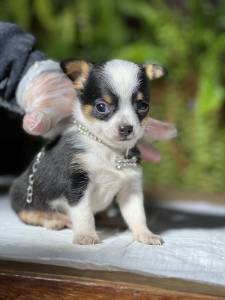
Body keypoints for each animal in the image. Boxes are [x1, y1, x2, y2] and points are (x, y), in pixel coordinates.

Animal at [10, 59, 165, 246]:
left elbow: (137, 215)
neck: (108, 149)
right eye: (101, 107)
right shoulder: (78, 185)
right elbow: (84, 214)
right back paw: (54, 220)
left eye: (143, 106)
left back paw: (112, 221)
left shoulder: (131, 188)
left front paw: (145, 234)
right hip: (24, 197)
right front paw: (86, 235)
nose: (127, 128)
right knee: (30, 214)